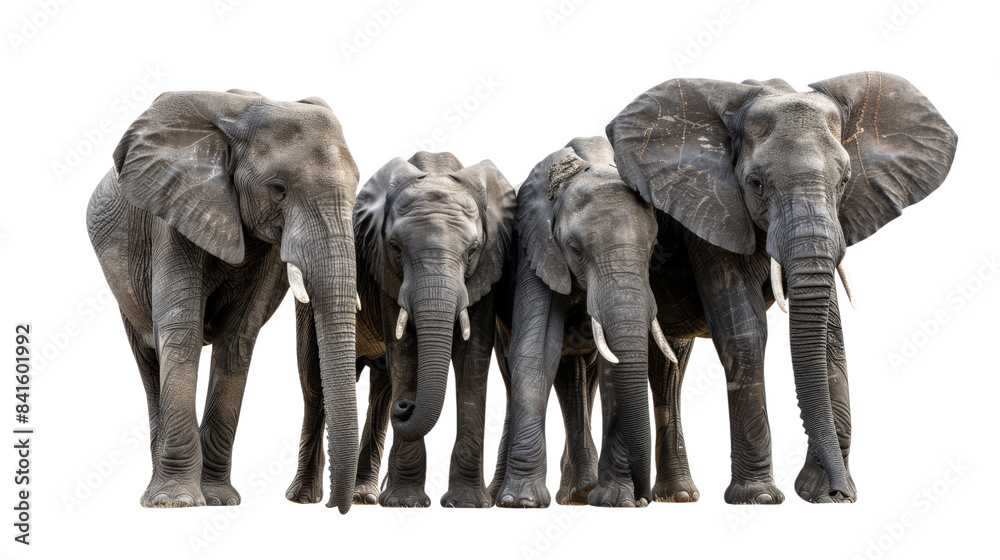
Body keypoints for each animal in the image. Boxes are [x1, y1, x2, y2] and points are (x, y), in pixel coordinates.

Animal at [86, 90, 362, 511]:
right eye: (278, 189)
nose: (336, 506)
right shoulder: (173, 212)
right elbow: (181, 334)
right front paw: (177, 501)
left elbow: (237, 341)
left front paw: (217, 499)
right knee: (148, 360)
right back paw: (153, 496)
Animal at [287, 151, 516, 508]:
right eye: (396, 248)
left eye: (472, 251)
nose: (407, 406)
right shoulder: (385, 271)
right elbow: (405, 352)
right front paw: (405, 502)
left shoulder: (489, 268)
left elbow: (474, 356)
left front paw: (466, 503)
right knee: (313, 381)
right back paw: (302, 497)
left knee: (382, 389)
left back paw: (364, 495)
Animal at [494, 136, 686, 508]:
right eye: (575, 248)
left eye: (653, 247)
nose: (645, 499)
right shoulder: (537, 248)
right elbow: (537, 348)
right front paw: (521, 502)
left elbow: (614, 370)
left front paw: (615, 500)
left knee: (581, 376)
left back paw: (581, 493)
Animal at [607, 71, 958, 503]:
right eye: (755, 183)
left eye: (845, 180)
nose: (841, 491)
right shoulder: (710, 208)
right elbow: (746, 333)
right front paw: (759, 497)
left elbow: (830, 337)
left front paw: (824, 495)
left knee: (670, 366)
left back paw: (678, 496)